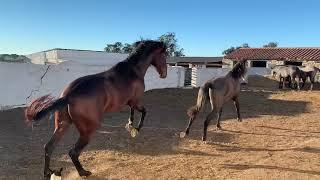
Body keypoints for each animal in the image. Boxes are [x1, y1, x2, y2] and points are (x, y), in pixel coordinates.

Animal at [25, 40, 168, 177]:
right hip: (88, 130)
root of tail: (68, 95)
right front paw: (136, 128)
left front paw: (130, 125)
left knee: (49, 147)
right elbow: (144, 112)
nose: (164, 74)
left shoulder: (130, 102)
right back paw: (83, 173)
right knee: (73, 152)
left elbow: (132, 112)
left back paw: (47, 173)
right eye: (164, 55)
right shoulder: (135, 101)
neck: (133, 71)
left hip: (62, 125)